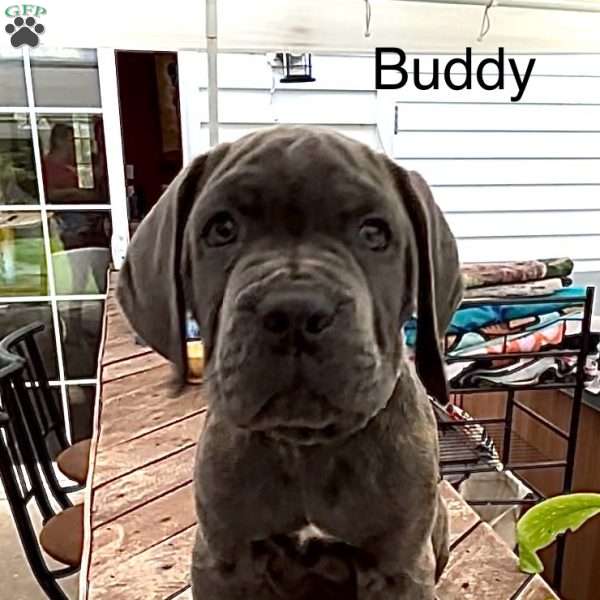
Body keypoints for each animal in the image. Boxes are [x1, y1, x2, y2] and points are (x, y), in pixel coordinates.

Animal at [118, 126, 464, 600]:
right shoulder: (222, 561)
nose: (295, 309)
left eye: (374, 233)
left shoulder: (399, 568)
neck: (304, 446)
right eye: (222, 228)